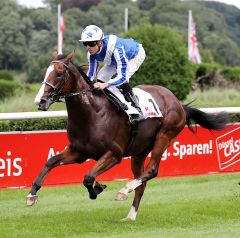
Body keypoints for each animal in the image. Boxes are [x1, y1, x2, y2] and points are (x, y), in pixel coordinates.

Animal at [26, 52, 229, 221]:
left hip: (164, 136)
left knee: (151, 171)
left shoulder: (114, 154)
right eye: (45, 72)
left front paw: (97, 189)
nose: (40, 101)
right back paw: (130, 216)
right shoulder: (78, 152)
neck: (92, 113)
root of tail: (179, 103)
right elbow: (51, 161)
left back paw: (124, 190)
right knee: (142, 182)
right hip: (139, 152)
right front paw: (32, 195)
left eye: (59, 73)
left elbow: (88, 177)